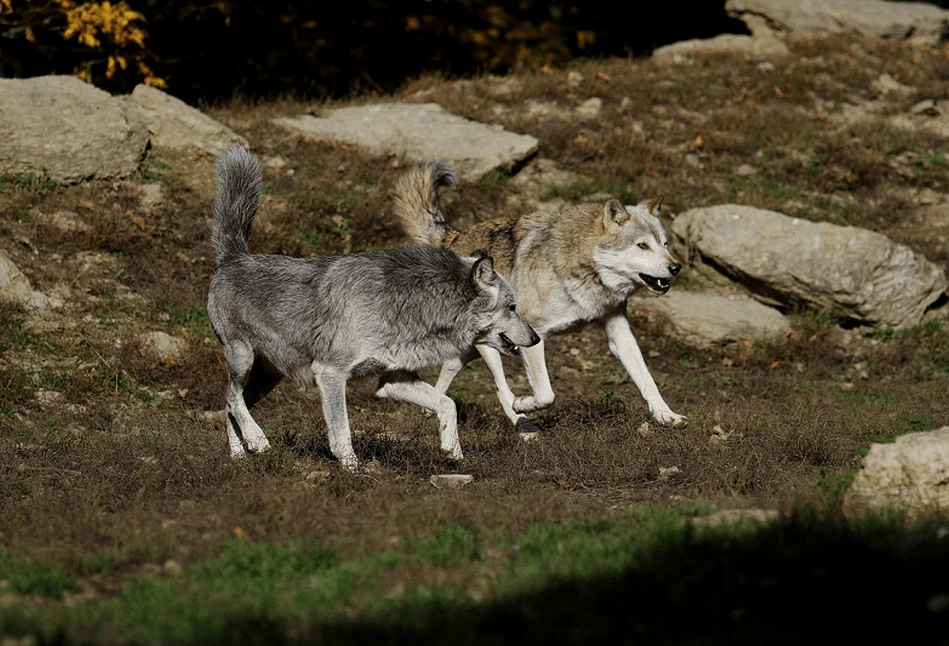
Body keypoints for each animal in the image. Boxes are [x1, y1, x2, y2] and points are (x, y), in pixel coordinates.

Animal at [206, 146, 536, 470]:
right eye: (512, 307)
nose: (535, 338)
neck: (407, 306)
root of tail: (233, 257)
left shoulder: (393, 380)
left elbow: (448, 404)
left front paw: (452, 451)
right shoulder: (330, 373)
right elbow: (342, 430)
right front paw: (352, 469)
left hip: (269, 376)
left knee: (229, 406)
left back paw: (239, 457)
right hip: (243, 358)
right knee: (232, 397)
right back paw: (257, 440)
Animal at [394, 162, 688, 432]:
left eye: (664, 244)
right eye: (642, 245)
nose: (676, 267)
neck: (582, 265)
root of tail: (454, 237)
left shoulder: (619, 330)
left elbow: (647, 379)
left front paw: (667, 416)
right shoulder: (534, 334)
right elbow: (546, 393)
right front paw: (524, 403)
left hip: (477, 349)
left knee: (450, 367)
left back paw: (432, 410)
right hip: (492, 345)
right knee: (501, 389)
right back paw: (524, 425)